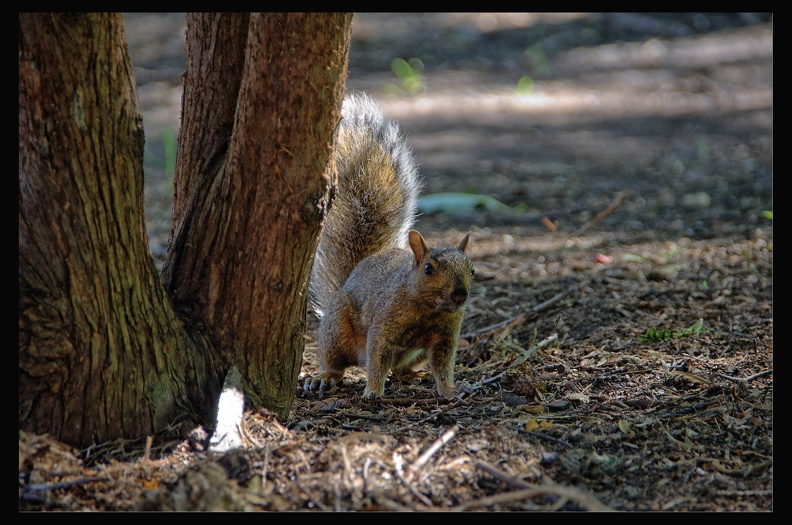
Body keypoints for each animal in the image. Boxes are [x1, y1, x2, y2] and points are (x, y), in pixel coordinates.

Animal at [306, 93, 474, 398]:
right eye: (428, 269)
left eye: (473, 270)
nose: (460, 294)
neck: (428, 309)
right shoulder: (383, 325)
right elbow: (377, 357)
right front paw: (373, 390)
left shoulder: (446, 336)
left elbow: (443, 365)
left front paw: (450, 390)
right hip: (337, 329)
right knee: (338, 361)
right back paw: (325, 376)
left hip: (414, 353)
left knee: (400, 368)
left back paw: (414, 374)